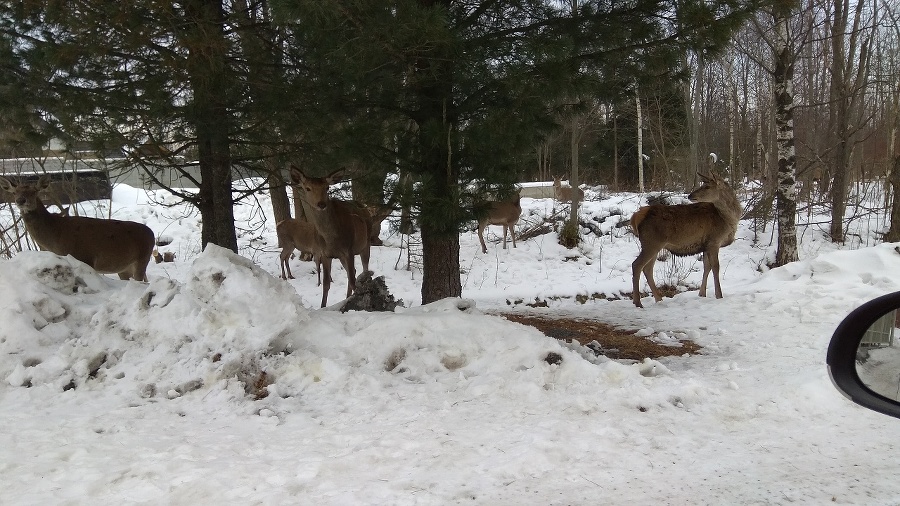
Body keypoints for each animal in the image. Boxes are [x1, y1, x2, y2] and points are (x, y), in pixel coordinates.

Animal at [0, 175, 156, 280]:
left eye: (34, 191)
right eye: (14, 192)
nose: (20, 200)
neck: (55, 236)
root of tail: (152, 233)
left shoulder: (84, 256)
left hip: (142, 258)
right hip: (124, 268)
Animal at [290, 166, 370, 308]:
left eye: (327, 187)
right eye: (308, 188)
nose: (321, 204)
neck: (331, 238)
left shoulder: (348, 250)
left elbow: (353, 281)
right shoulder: (325, 254)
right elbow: (326, 284)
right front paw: (322, 306)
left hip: (366, 244)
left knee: (363, 271)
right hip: (343, 256)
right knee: (353, 272)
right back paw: (347, 297)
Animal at [628, 171, 740, 308]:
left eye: (707, 186)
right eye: (703, 184)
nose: (690, 195)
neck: (728, 219)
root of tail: (635, 217)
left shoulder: (706, 244)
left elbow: (706, 267)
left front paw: (702, 294)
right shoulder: (714, 241)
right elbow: (715, 267)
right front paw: (719, 295)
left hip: (654, 245)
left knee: (647, 269)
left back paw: (659, 298)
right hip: (651, 243)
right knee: (637, 265)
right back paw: (638, 302)